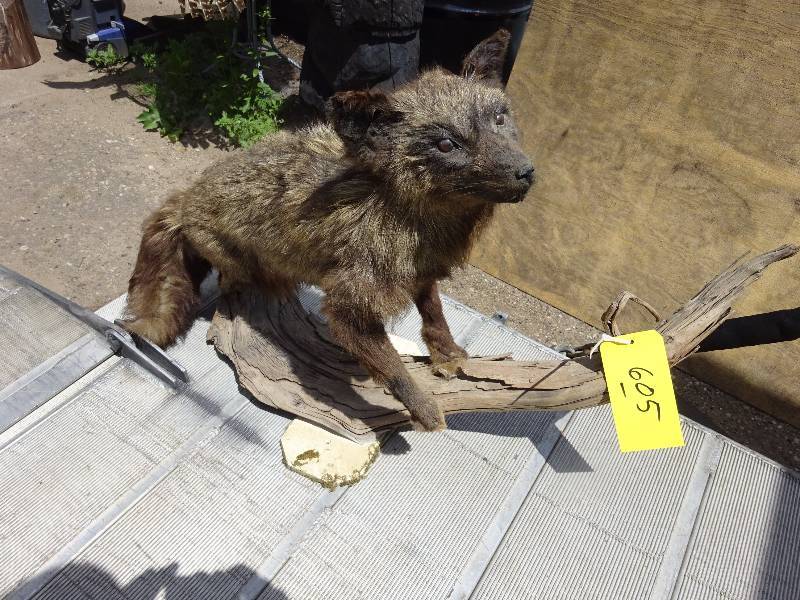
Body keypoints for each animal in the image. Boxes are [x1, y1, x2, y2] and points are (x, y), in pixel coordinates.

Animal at [123, 29, 535, 431]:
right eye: (446, 144)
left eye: (499, 119)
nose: (526, 172)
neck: (412, 223)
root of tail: (185, 199)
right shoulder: (348, 304)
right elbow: (392, 367)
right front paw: (422, 410)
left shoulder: (421, 272)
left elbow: (434, 312)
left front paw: (447, 354)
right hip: (233, 258)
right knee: (231, 281)